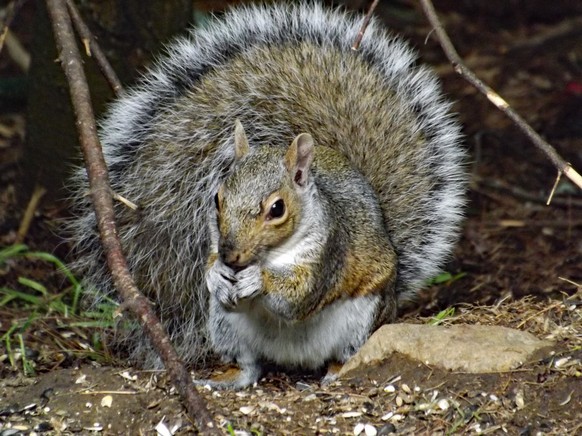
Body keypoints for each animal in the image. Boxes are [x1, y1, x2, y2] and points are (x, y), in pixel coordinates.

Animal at [68, 0, 468, 388]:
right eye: (217, 199)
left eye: (277, 209)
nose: (232, 258)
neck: (270, 255)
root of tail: (293, 358)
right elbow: (211, 267)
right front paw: (217, 274)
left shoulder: (328, 254)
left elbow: (297, 297)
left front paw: (257, 281)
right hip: (226, 325)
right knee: (249, 365)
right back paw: (228, 378)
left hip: (360, 321)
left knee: (343, 353)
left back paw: (334, 373)